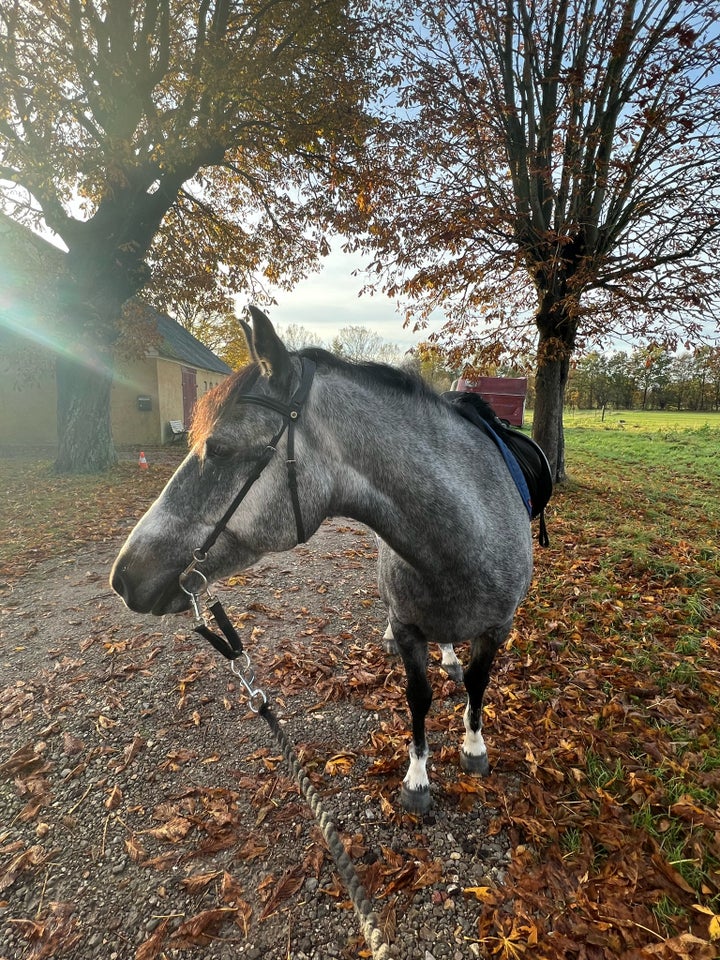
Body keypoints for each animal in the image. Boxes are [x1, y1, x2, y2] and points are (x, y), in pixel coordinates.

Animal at [111, 306, 536, 808]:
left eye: (219, 449)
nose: (123, 576)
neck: (464, 541)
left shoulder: (498, 628)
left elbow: (475, 685)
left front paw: (473, 747)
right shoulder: (411, 629)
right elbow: (418, 696)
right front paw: (417, 777)